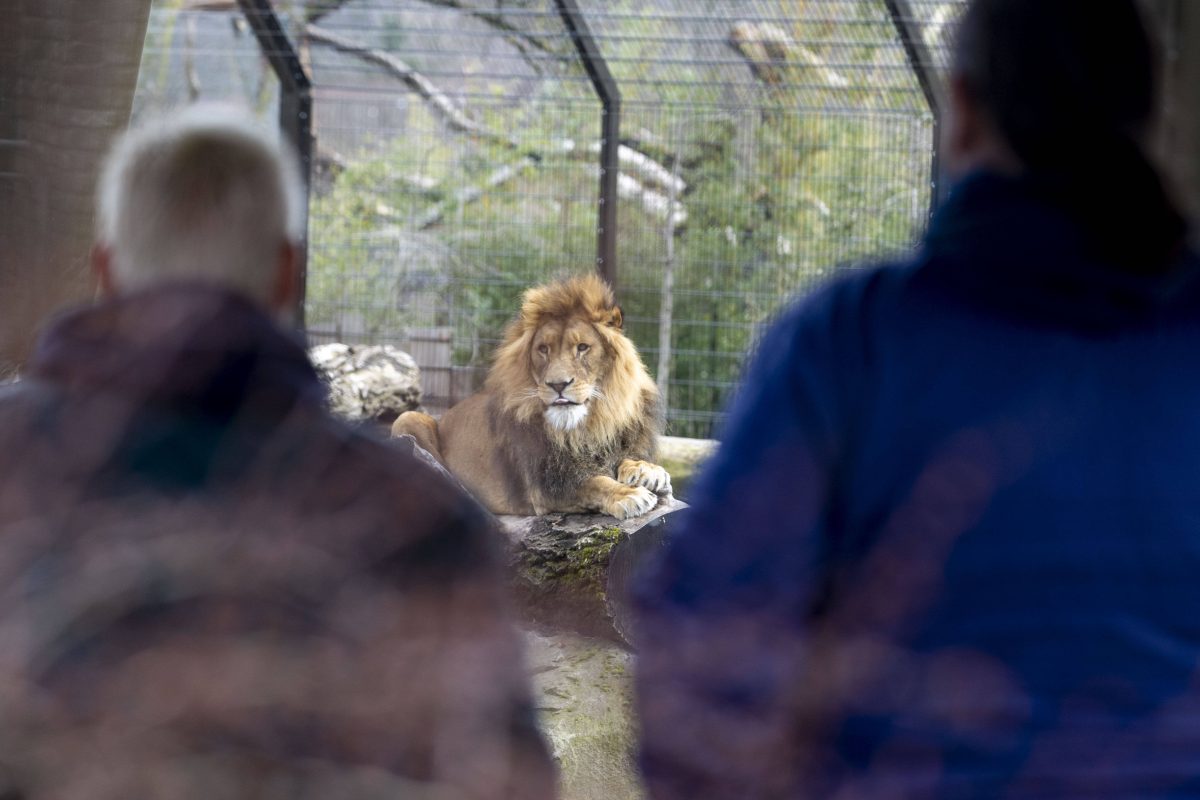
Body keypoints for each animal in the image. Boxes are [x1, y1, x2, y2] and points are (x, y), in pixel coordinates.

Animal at [392, 274, 671, 520]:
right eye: (543, 349)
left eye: (582, 347)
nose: (558, 384)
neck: (587, 427)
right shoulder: (546, 487)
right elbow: (594, 483)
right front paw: (628, 495)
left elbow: (627, 459)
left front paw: (646, 470)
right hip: (408, 418)